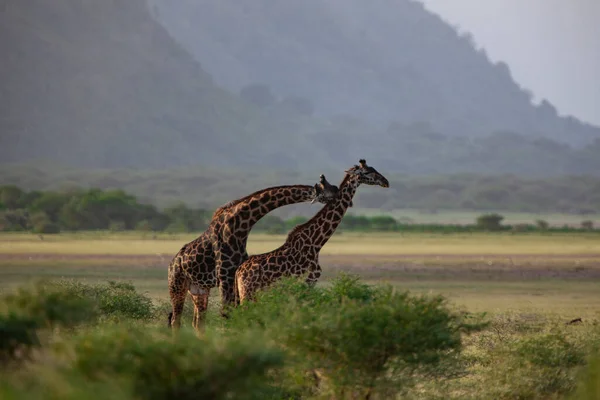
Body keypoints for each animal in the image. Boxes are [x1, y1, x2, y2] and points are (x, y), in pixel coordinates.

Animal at [168, 178, 338, 328]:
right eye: (327, 188)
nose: (337, 191)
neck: (240, 227)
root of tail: (172, 264)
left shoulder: (233, 276)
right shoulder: (225, 276)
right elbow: (225, 313)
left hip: (199, 290)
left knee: (197, 322)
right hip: (177, 285)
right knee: (175, 320)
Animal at [234, 159, 390, 304]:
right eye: (367, 172)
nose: (386, 182)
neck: (316, 243)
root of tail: (238, 273)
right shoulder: (309, 279)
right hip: (248, 293)